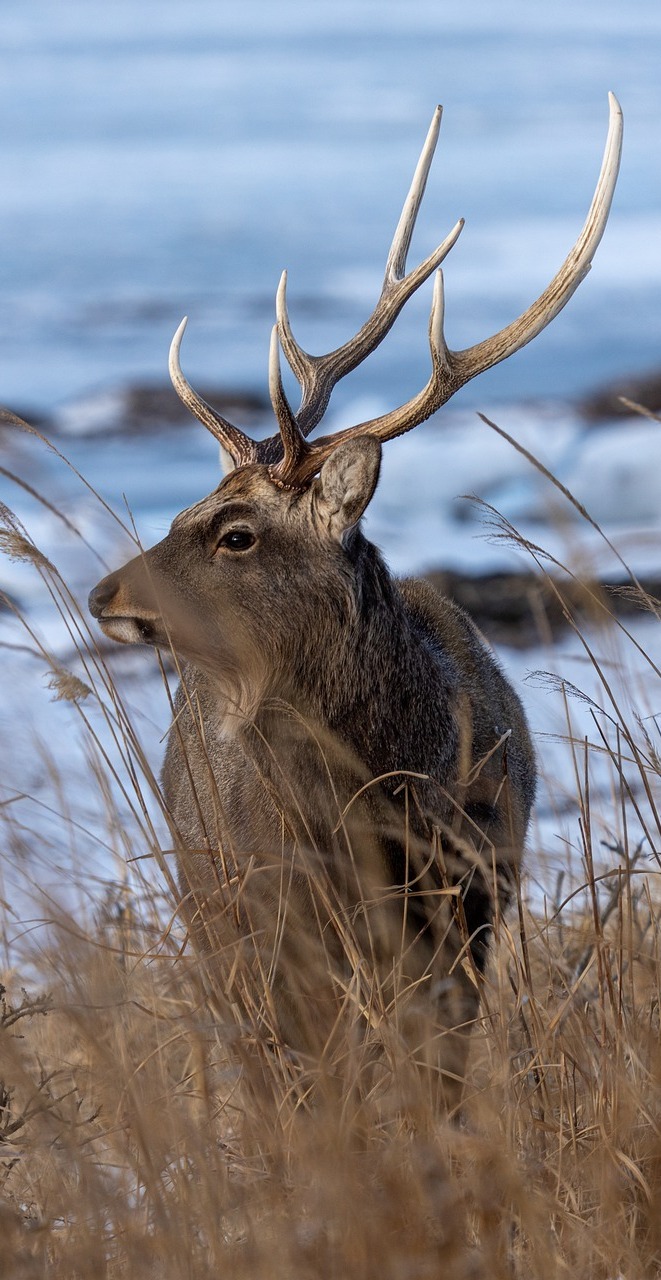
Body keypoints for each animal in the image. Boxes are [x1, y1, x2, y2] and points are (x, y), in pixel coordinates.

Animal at [90, 94, 622, 1105]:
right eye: (184, 509)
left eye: (235, 532)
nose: (103, 592)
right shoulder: (274, 920)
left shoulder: (466, 911)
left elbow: (435, 1089)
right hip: (209, 904)